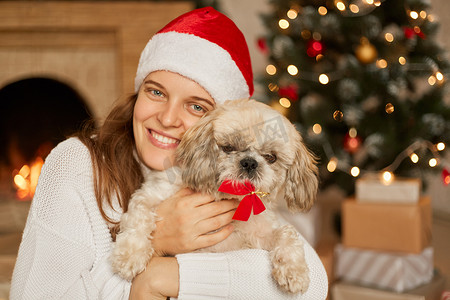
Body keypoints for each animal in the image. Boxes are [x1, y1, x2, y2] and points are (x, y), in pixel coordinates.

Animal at [110, 98, 318, 292]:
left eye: (271, 157)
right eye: (228, 148)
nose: (249, 163)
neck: (225, 196)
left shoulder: (258, 236)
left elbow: (287, 233)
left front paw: (294, 271)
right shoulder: (151, 194)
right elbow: (139, 216)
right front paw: (130, 255)